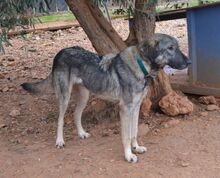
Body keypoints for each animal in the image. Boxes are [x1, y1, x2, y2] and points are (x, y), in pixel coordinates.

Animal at [21, 33, 191, 163]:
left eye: (177, 47)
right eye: (171, 48)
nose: (189, 61)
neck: (141, 66)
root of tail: (61, 52)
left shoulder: (136, 107)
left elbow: (134, 131)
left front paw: (136, 148)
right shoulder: (125, 109)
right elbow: (126, 136)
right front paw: (129, 155)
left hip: (84, 96)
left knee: (76, 114)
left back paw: (81, 134)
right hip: (64, 97)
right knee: (60, 119)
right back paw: (60, 141)